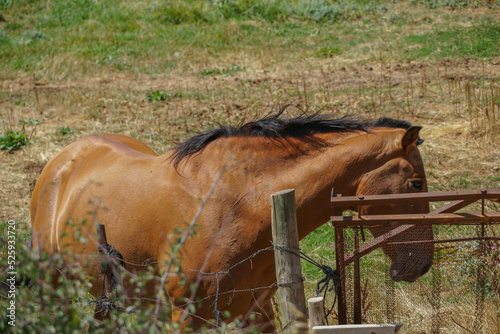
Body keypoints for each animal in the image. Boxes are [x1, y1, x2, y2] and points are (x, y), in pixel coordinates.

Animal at [30, 110, 434, 332]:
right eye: (416, 183)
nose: (423, 263)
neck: (239, 207)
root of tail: (62, 161)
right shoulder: (185, 316)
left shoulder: (256, 313)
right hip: (57, 289)